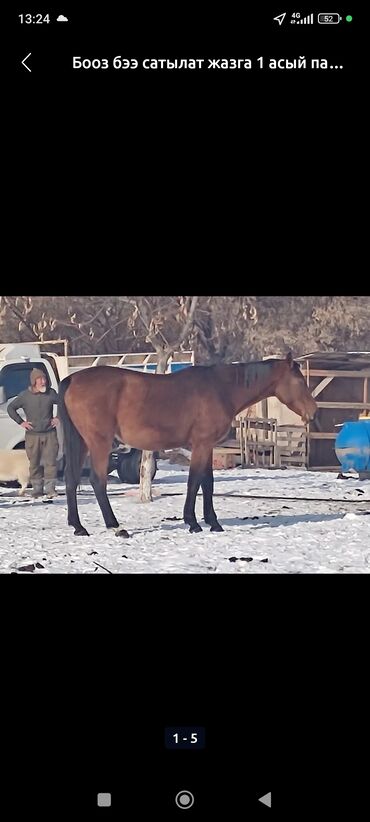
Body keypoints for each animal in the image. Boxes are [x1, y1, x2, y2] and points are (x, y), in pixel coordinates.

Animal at [59, 354, 316, 540]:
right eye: (299, 380)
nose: (312, 411)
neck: (220, 388)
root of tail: (72, 379)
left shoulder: (207, 446)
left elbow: (207, 482)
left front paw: (213, 522)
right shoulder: (201, 444)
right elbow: (194, 482)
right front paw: (193, 522)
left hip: (81, 442)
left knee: (72, 478)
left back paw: (78, 527)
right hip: (99, 442)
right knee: (97, 481)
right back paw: (116, 527)